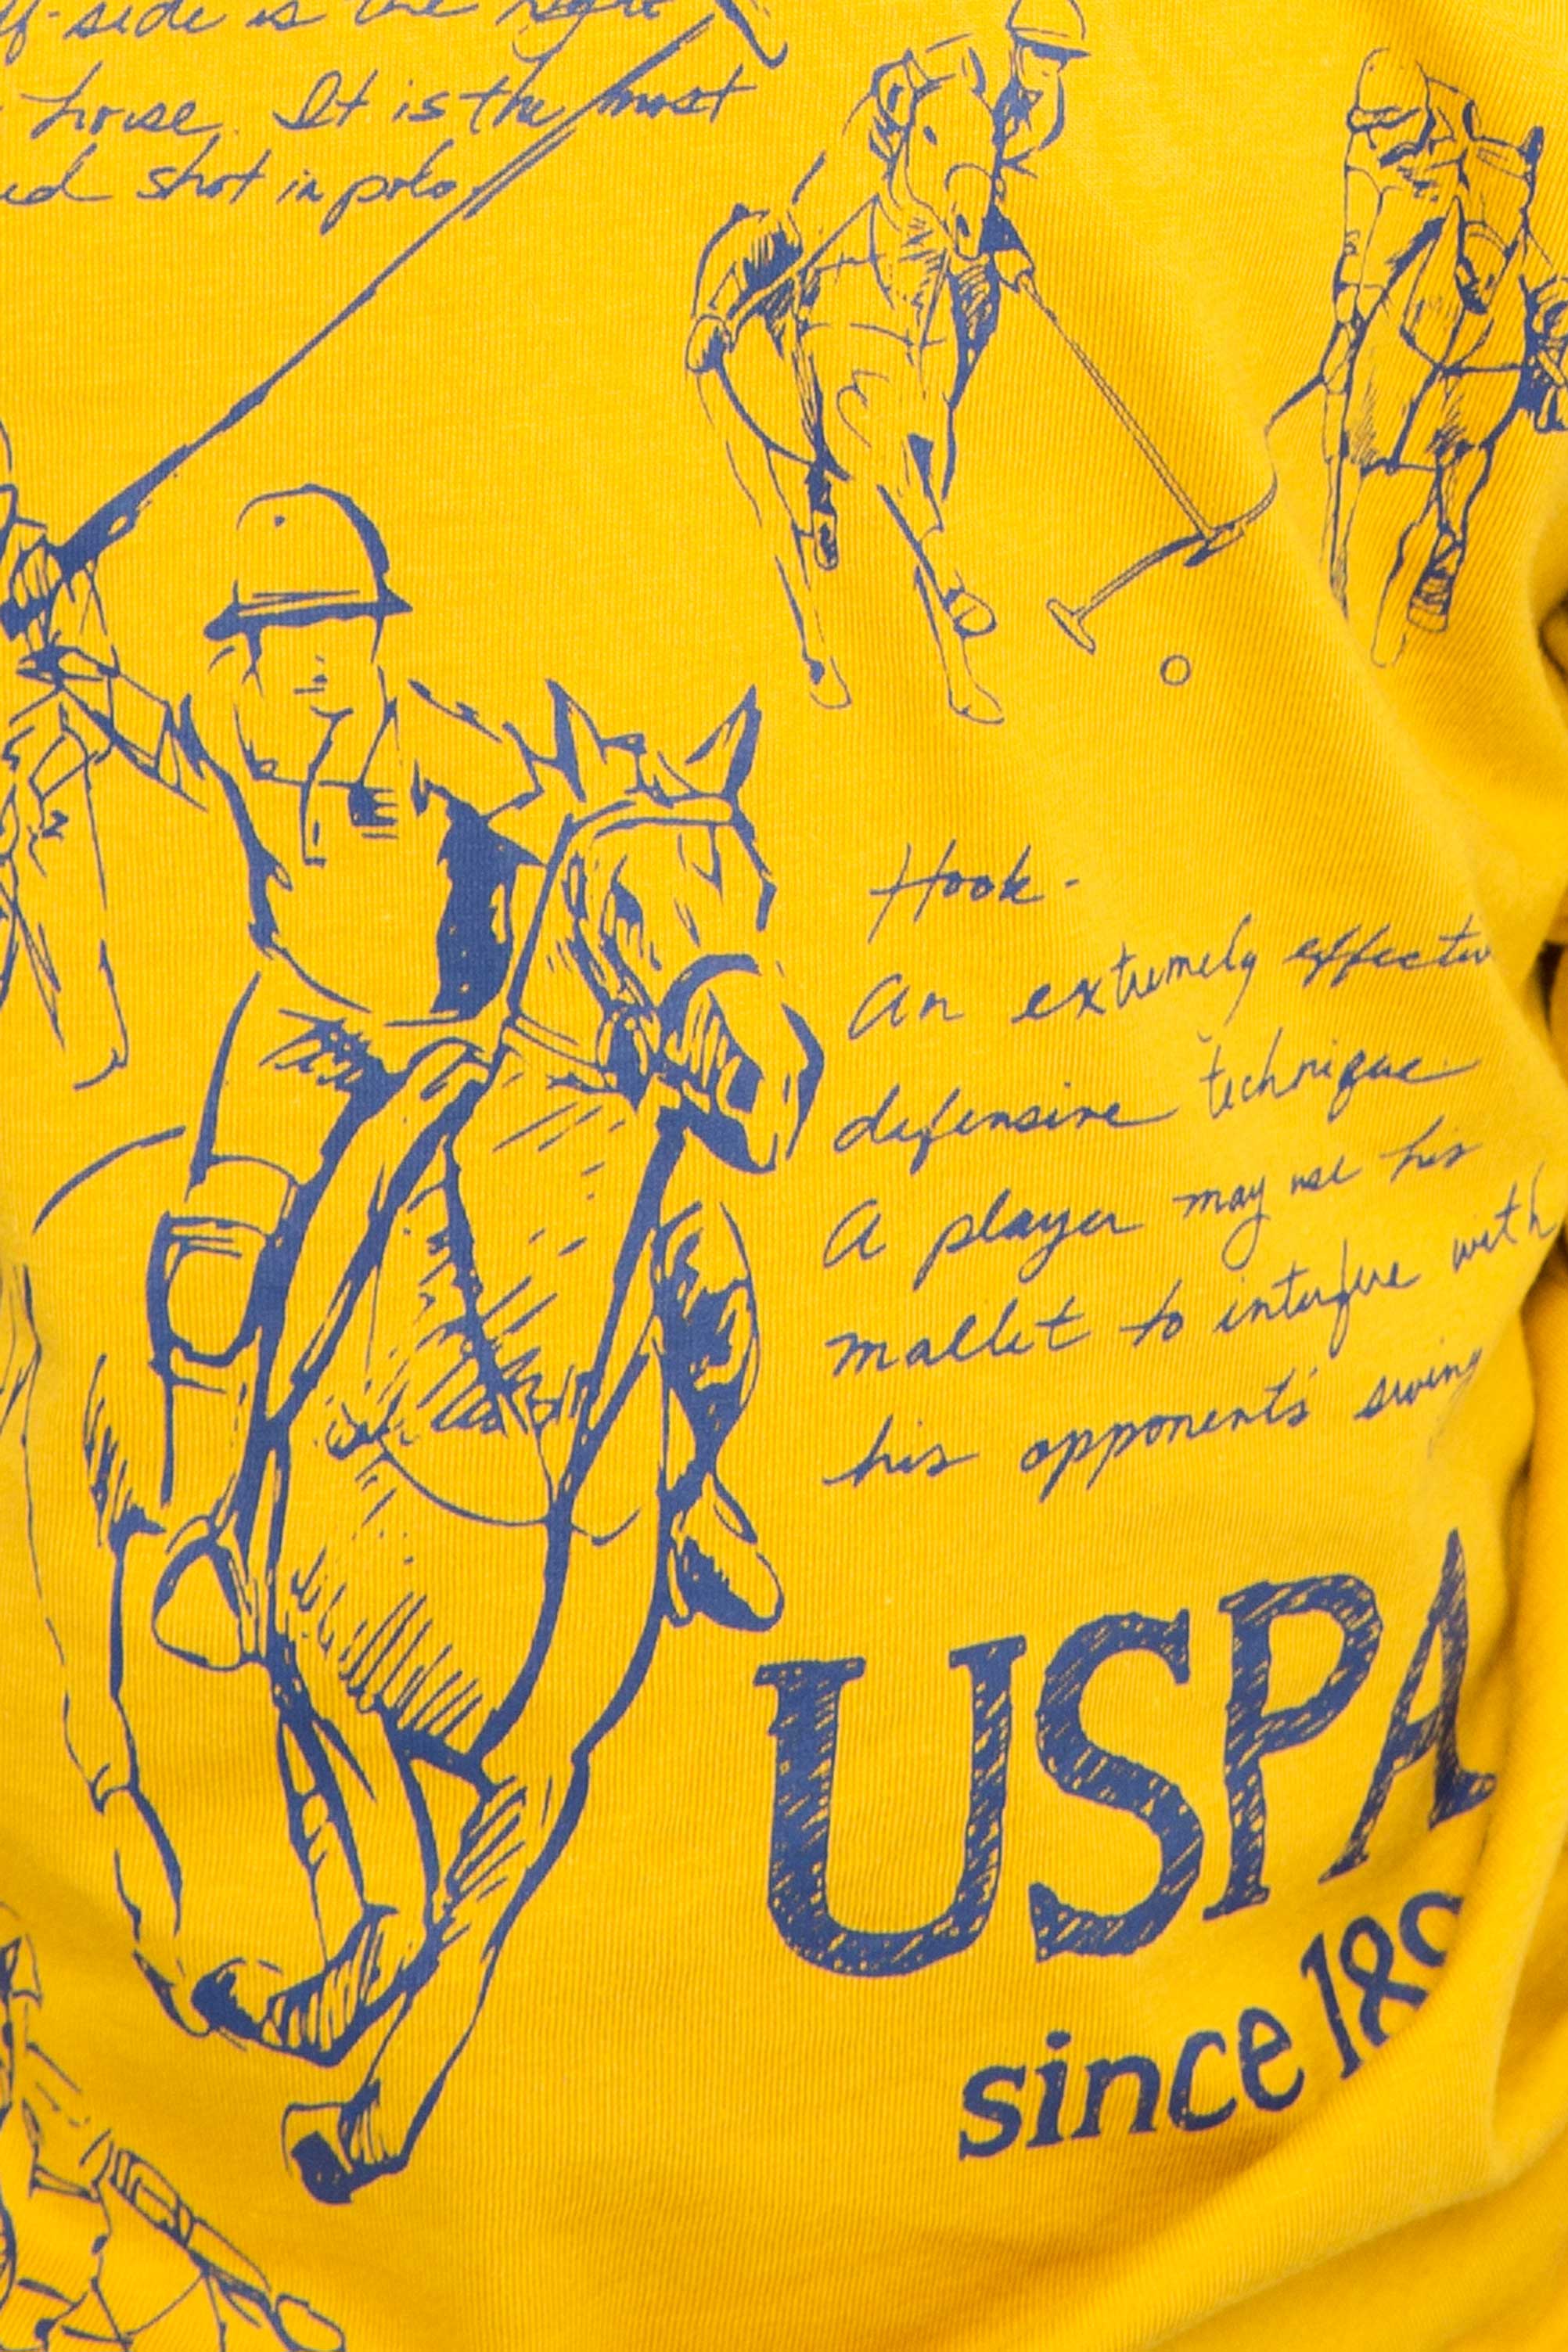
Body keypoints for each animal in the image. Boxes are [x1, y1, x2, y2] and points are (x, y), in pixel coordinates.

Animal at [8, 690, 820, 2203]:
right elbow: (394, 1900)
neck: (501, 1387)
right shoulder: (336, 1687)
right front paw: (288, 2015)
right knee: (106, 1743)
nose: (770, 1085)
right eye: (622, 901)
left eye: (753, 887)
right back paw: (163, 1930)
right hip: (67, 1556)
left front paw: (358, 2119)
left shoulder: (536, 1763)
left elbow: (450, 1933)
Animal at [689, 45, 1012, 723]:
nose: (973, 226)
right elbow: (919, 518)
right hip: (744, 450)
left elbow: (923, 536)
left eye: (992, 133)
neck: (899, 303)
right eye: (929, 133)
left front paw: (967, 690)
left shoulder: (932, 438)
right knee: (785, 547)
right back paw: (825, 674)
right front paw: (966, 606)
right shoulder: (868, 436)